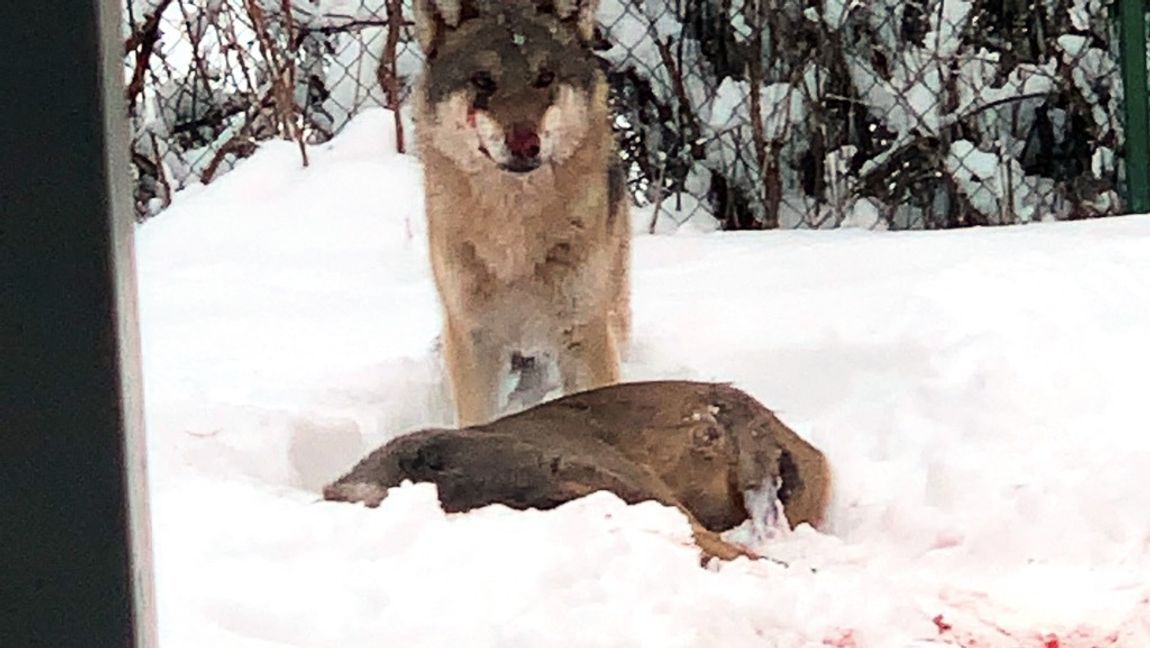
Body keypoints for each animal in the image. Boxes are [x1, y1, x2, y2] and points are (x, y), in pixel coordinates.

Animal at [411, 0, 634, 428]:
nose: (525, 144)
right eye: (483, 81)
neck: (514, 233)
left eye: (544, 77)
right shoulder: (472, 339)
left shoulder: (584, 334)